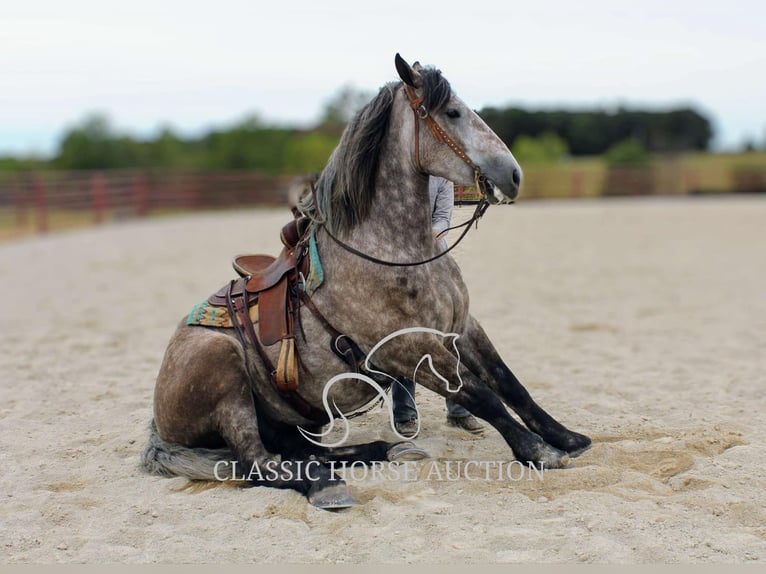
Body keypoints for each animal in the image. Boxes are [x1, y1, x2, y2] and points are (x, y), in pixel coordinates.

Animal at [142, 54, 592, 510]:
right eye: (452, 112)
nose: (514, 174)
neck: (394, 250)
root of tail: (159, 423)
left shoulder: (462, 326)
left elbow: (508, 382)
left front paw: (567, 438)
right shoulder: (405, 348)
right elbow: (482, 394)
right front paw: (538, 451)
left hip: (291, 420)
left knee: (306, 451)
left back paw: (386, 449)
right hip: (225, 373)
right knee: (259, 463)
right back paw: (326, 484)